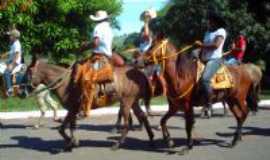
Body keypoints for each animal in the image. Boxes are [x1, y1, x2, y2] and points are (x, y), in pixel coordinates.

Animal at [26, 56, 154, 151]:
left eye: (29, 71)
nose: (25, 90)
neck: (66, 83)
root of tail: (140, 73)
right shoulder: (72, 110)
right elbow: (67, 128)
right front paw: (71, 143)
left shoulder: (73, 109)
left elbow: (66, 128)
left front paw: (72, 142)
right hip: (133, 102)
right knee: (143, 115)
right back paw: (151, 139)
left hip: (126, 102)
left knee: (127, 124)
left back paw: (117, 145)